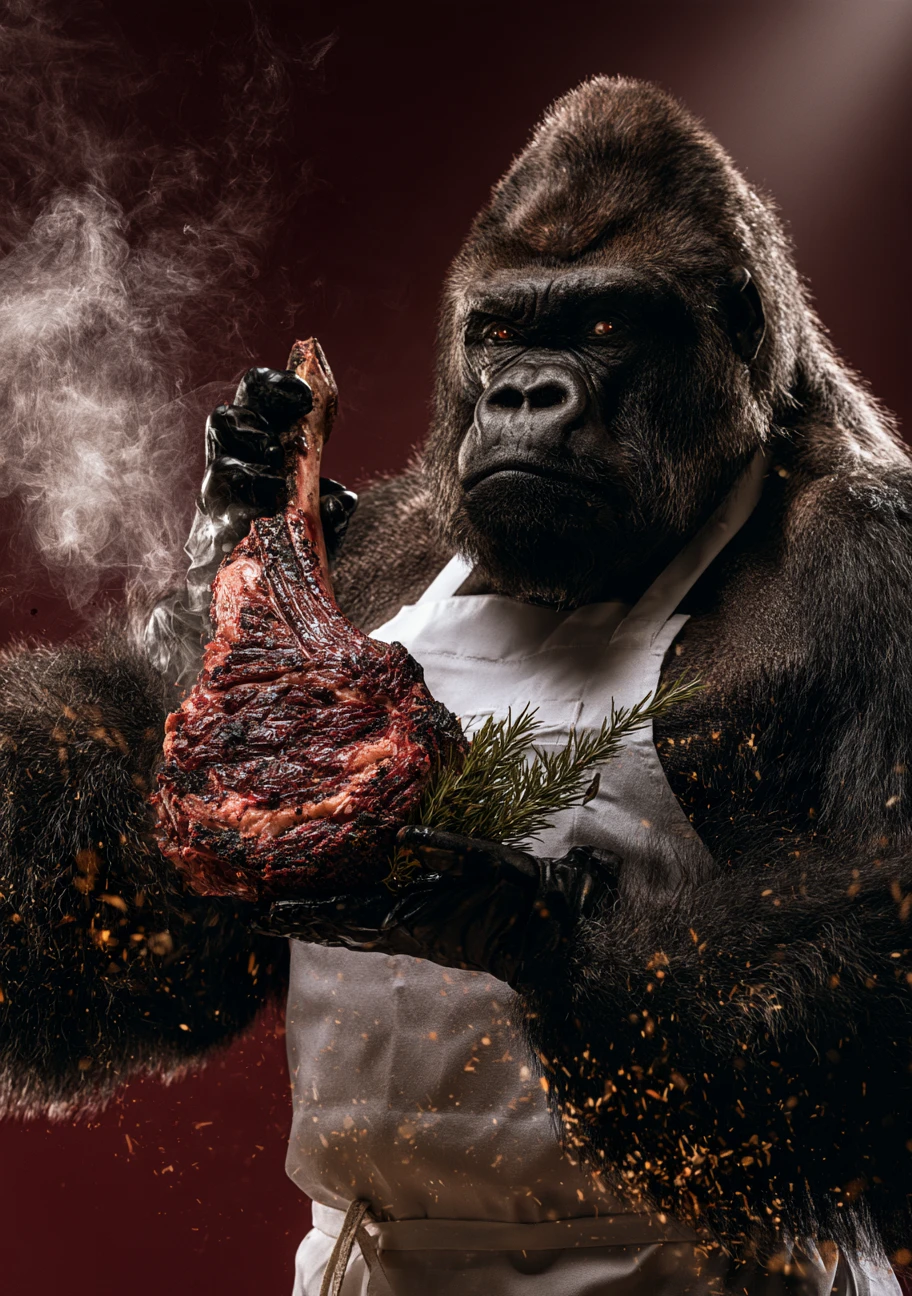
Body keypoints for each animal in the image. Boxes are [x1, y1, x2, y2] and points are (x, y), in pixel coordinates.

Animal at [1, 76, 911, 1285]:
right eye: (501, 330)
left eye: (606, 324)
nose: (522, 393)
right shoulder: (393, 532)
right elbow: (175, 937)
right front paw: (237, 490)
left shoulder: (877, 560)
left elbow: (871, 923)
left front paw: (531, 921)